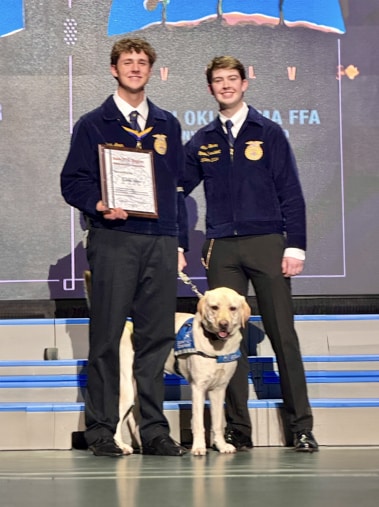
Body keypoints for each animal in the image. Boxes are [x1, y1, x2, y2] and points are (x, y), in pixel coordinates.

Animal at [83, 274, 251, 456]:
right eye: (214, 307)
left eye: (233, 308)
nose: (223, 324)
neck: (216, 344)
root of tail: (126, 326)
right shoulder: (198, 388)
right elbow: (198, 422)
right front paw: (199, 447)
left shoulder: (219, 390)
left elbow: (218, 422)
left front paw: (221, 445)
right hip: (127, 389)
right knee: (118, 418)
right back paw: (120, 445)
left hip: (136, 390)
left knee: (132, 420)